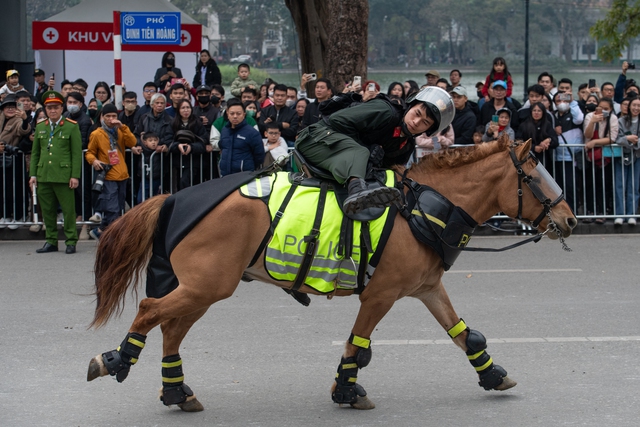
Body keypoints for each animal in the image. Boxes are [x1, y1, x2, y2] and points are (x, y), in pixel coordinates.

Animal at [86, 140, 580, 412]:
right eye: (536, 176)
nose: (571, 219)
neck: (420, 210)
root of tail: (174, 197)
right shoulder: (381, 294)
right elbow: (357, 344)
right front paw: (347, 390)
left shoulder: (427, 288)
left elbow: (464, 334)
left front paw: (493, 374)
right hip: (207, 286)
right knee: (150, 309)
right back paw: (116, 359)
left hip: (203, 289)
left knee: (170, 327)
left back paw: (176, 392)